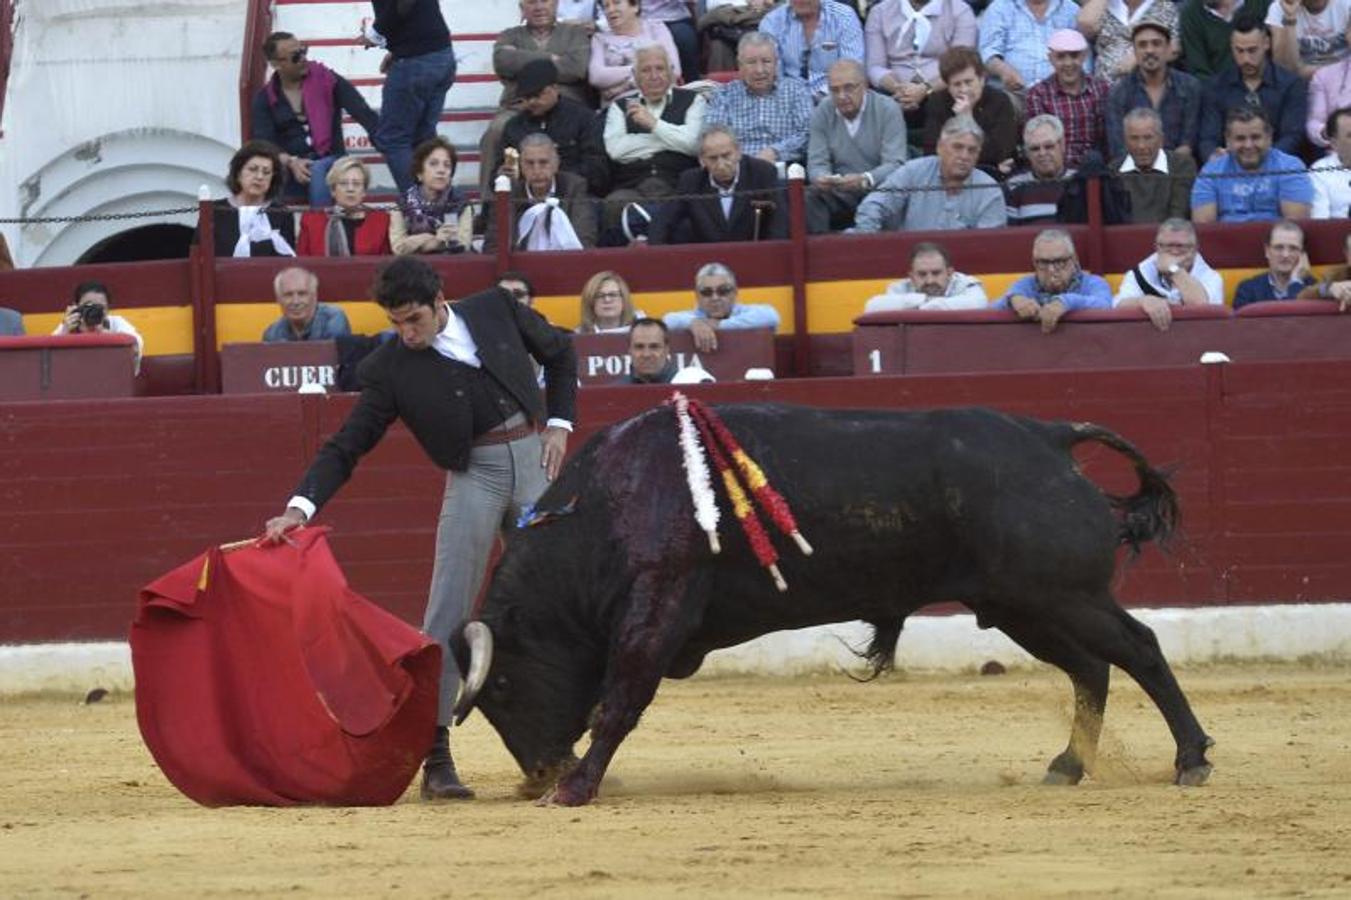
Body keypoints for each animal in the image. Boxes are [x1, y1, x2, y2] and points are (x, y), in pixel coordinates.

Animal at [451, 402, 1215, 800]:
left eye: (504, 687)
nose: (537, 776)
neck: (610, 500)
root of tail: (1050, 438)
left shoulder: (658, 603)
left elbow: (621, 698)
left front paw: (578, 787)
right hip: (1024, 607)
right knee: (1092, 668)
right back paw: (1067, 767)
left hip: (1063, 595)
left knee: (1139, 649)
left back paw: (1190, 760)